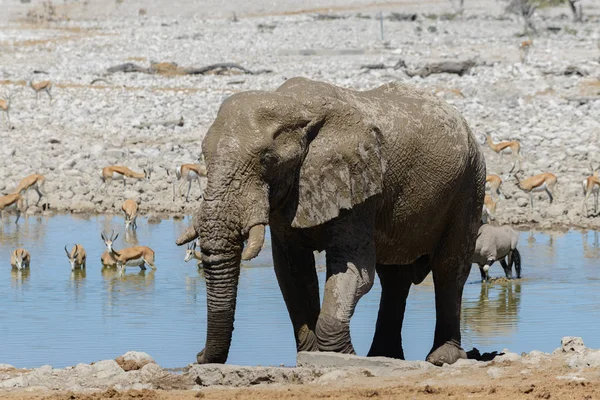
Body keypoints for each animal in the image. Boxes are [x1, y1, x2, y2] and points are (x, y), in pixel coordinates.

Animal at [176, 77, 486, 366]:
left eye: (267, 160)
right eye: (204, 156)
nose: (198, 355)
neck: (295, 108)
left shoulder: (359, 185)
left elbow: (354, 271)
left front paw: (343, 356)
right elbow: (292, 273)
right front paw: (315, 356)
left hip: (470, 183)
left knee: (449, 269)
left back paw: (441, 357)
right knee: (394, 278)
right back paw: (383, 356)